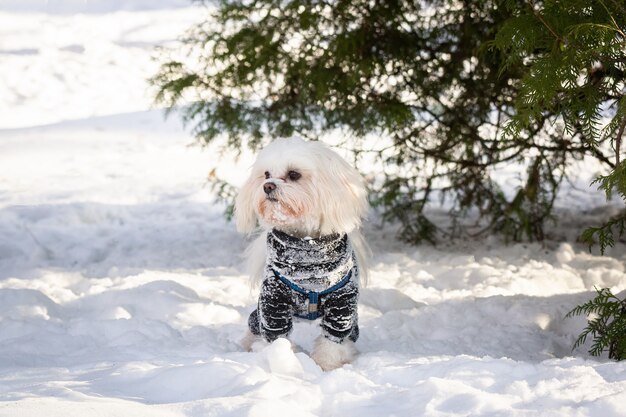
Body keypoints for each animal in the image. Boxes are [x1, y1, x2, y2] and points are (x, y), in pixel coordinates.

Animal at [236, 137, 368, 370]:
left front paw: (325, 366)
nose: (267, 186)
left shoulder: (342, 304)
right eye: (266, 174)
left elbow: (332, 339)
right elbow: (276, 334)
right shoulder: (273, 300)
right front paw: (285, 360)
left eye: (294, 174)